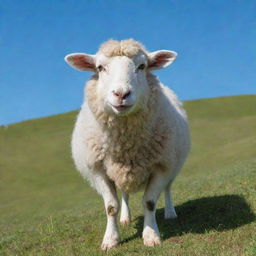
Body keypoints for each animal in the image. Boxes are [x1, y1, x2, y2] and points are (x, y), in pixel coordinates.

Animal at [65, 39, 191, 251]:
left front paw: (151, 235)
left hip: (173, 164)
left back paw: (170, 212)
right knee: (124, 193)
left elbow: (149, 202)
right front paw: (110, 239)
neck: (126, 146)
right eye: (100, 68)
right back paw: (125, 218)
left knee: (168, 188)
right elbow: (111, 207)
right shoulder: (98, 170)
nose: (121, 93)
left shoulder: (161, 166)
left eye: (142, 66)